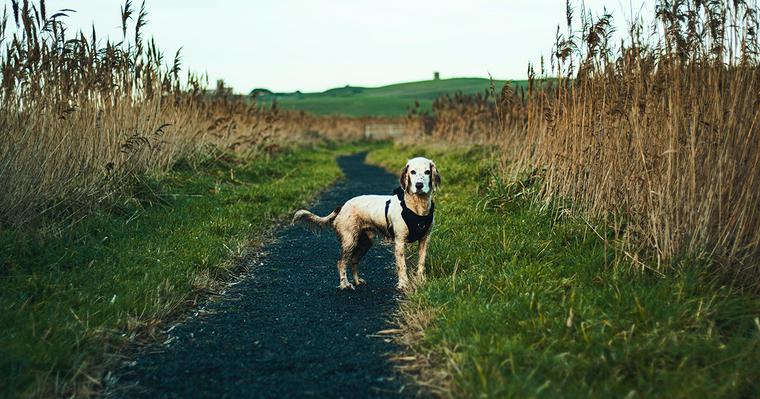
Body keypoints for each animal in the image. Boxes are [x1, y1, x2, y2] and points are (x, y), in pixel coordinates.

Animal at [294, 156, 442, 290]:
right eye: (412, 172)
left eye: (427, 172)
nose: (419, 185)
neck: (417, 208)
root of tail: (342, 207)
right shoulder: (400, 241)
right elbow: (402, 266)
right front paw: (403, 284)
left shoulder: (424, 239)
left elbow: (421, 262)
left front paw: (421, 280)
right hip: (350, 241)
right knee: (341, 262)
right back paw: (345, 284)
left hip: (366, 242)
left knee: (353, 260)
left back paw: (357, 280)